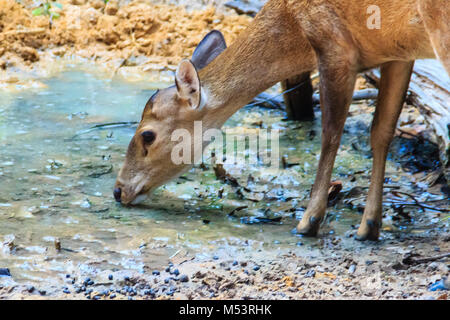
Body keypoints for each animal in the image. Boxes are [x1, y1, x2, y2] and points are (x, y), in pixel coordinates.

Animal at [113, 0, 450, 240]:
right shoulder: (397, 53)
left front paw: (308, 221)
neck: (294, 27)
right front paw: (369, 226)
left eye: (147, 135)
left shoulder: (335, 47)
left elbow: (330, 133)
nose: (118, 190)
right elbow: (381, 132)